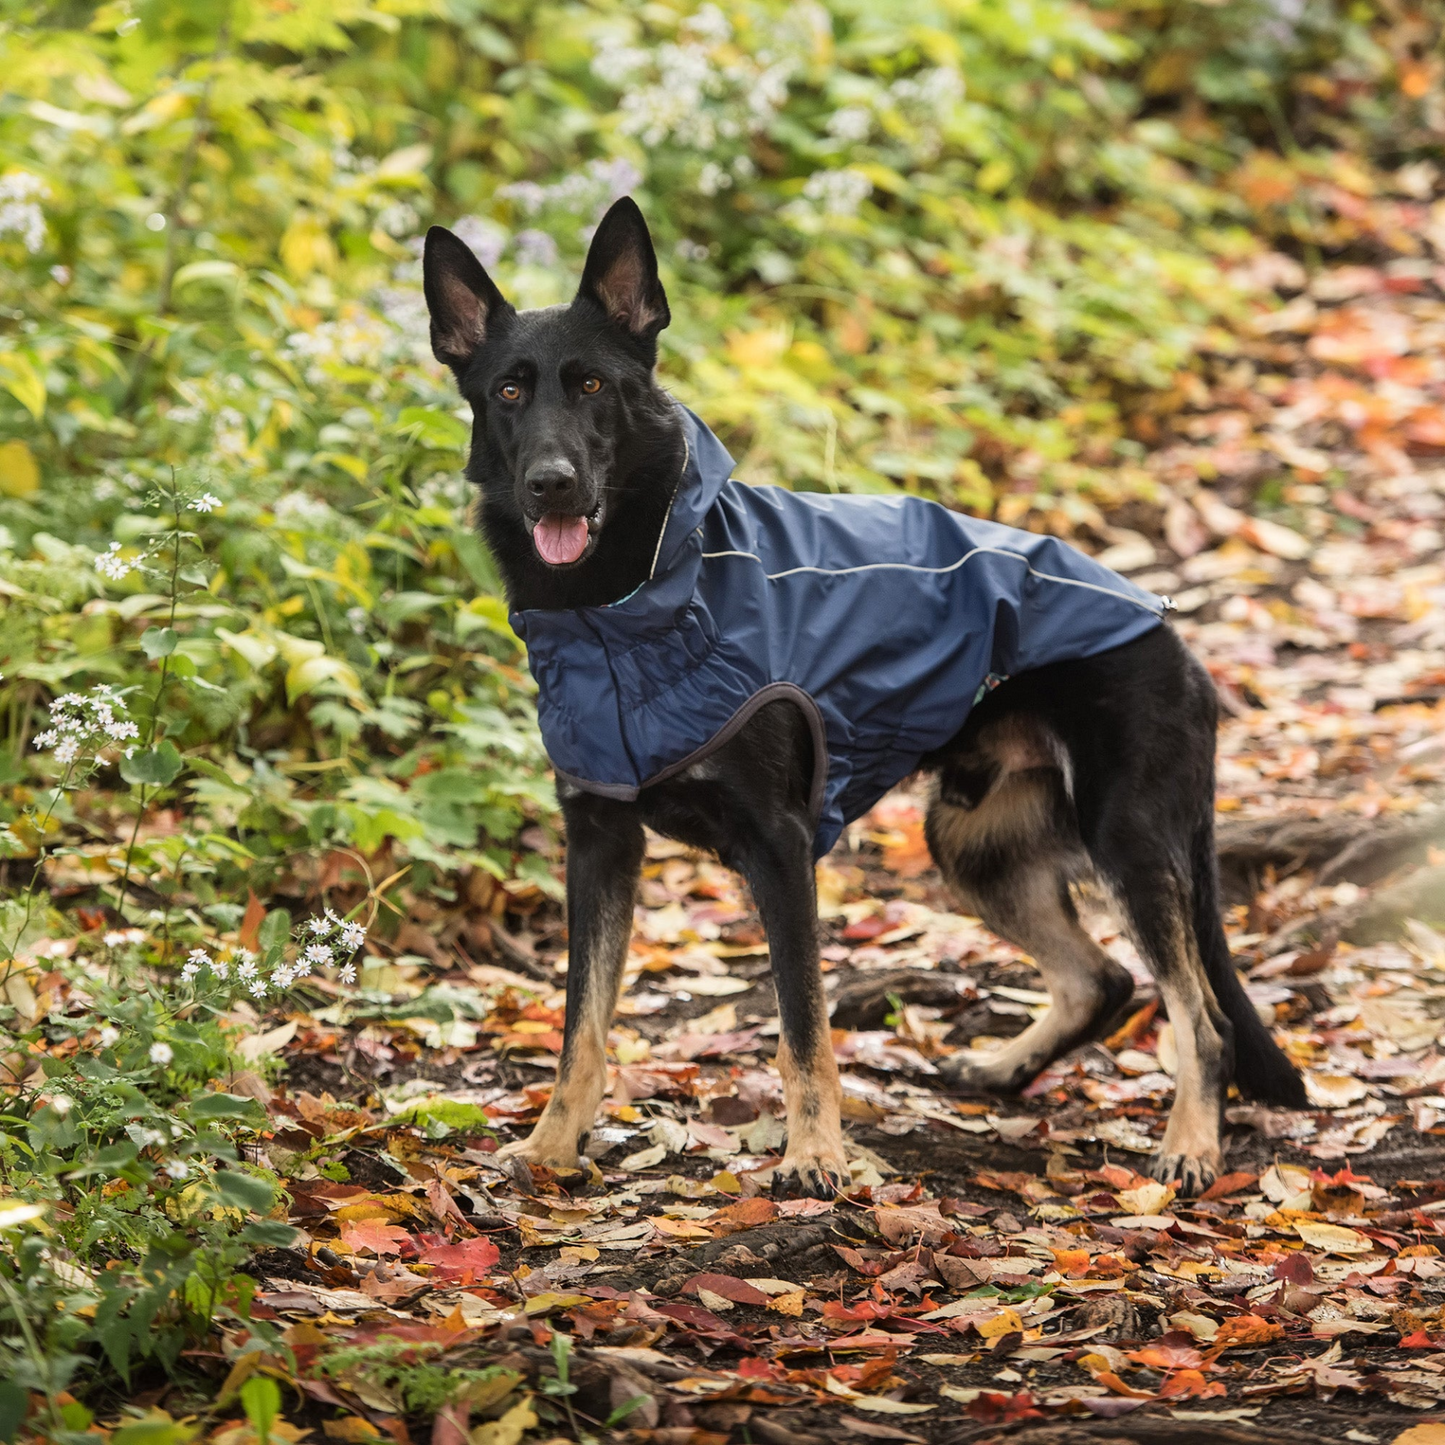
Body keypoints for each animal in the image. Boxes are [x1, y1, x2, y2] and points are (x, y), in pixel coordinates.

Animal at [421, 197, 1312, 1202]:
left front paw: (815, 1156)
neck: (627, 606)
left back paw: (1190, 1142)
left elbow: (802, 1028)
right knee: (1102, 982)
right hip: (973, 845)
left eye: (591, 386)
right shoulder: (599, 842)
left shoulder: (778, 847)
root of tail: (1169, 631)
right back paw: (1004, 1066)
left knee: (1203, 1018)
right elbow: (583, 1024)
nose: (551, 484)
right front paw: (551, 1145)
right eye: (507, 392)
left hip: (1123, 838)